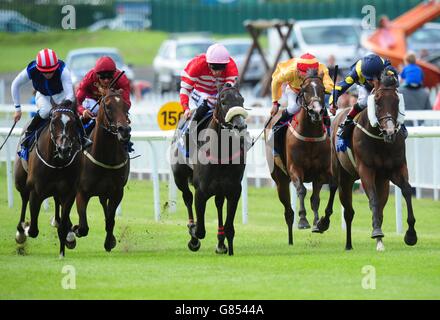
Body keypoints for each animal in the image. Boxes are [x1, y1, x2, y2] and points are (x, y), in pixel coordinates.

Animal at [14, 100, 81, 258]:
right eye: (53, 122)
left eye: (74, 122)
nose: (64, 149)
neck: (57, 162)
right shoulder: (35, 192)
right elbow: (33, 230)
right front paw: (25, 228)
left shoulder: (69, 192)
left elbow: (63, 227)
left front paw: (62, 253)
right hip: (21, 181)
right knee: (24, 198)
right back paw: (21, 231)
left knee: (57, 204)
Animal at [72, 88, 130, 252]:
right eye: (108, 106)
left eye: (126, 106)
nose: (125, 130)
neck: (105, 157)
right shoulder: (81, 192)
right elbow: (83, 226)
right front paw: (74, 230)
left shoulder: (117, 192)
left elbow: (110, 219)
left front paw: (109, 241)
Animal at [171, 82, 249, 255]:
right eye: (224, 102)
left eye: (242, 100)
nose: (240, 125)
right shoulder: (201, 192)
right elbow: (200, 230)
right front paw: (193, 233)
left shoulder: (234, 190)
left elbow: (229, 227)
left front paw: (227, 246)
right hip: (179, 177)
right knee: (187, 197)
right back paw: (192, 232)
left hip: (220, 189)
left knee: (219, 204)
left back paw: (220, 243)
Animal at [264, 70, 336, 245]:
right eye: (305, 90)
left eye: (323, 89)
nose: (317, 111)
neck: (310, 136)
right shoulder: (294, 169)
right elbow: (302, 190)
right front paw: (303, 220)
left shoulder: (322, 172)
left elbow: (322, 194)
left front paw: (320, 223)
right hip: (279, 179)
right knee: (288, 210)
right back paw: (290, 236)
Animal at [314, 71, 418, 251]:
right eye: (376, 100)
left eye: (397, 101)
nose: (390, 131)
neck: (380, 140)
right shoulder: (366, 169)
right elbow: (373, 199)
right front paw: (377, 232)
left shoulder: (397, 168)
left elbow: (406, 190)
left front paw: (410, 234)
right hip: (340, 171)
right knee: (336, 191)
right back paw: (324, 224)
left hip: (375, 180)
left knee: (359, 210)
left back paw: (359, 243)